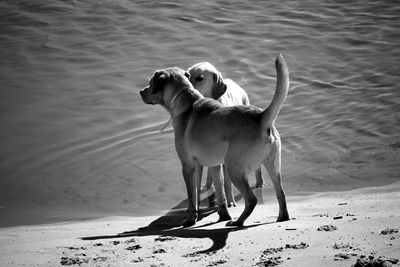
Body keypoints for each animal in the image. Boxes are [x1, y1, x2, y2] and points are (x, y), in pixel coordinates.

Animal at [188, 61, 266, 208]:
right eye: (187, 74)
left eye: (200, 78)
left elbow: (227, 184)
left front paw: (230, 201)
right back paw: (208, 186)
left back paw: (260, 183)